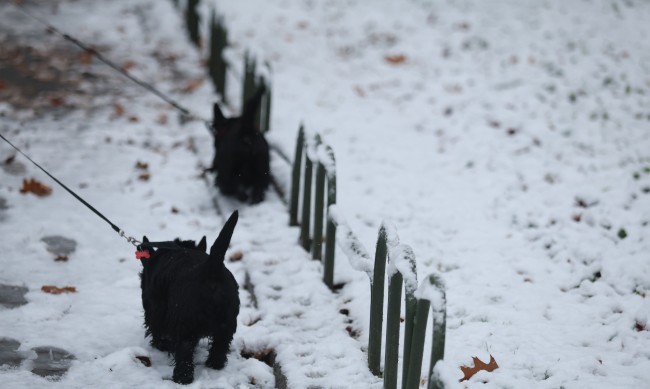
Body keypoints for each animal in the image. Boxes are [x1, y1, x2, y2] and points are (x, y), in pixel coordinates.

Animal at [138, 211, 239, 384]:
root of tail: (211, 270)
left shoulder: (154, 309)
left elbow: (156, 329)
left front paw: (161, 345)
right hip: (227, 326)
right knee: (219, 348)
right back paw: (214, 365)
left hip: (183, 326)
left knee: (184, 355)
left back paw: (181, 378)